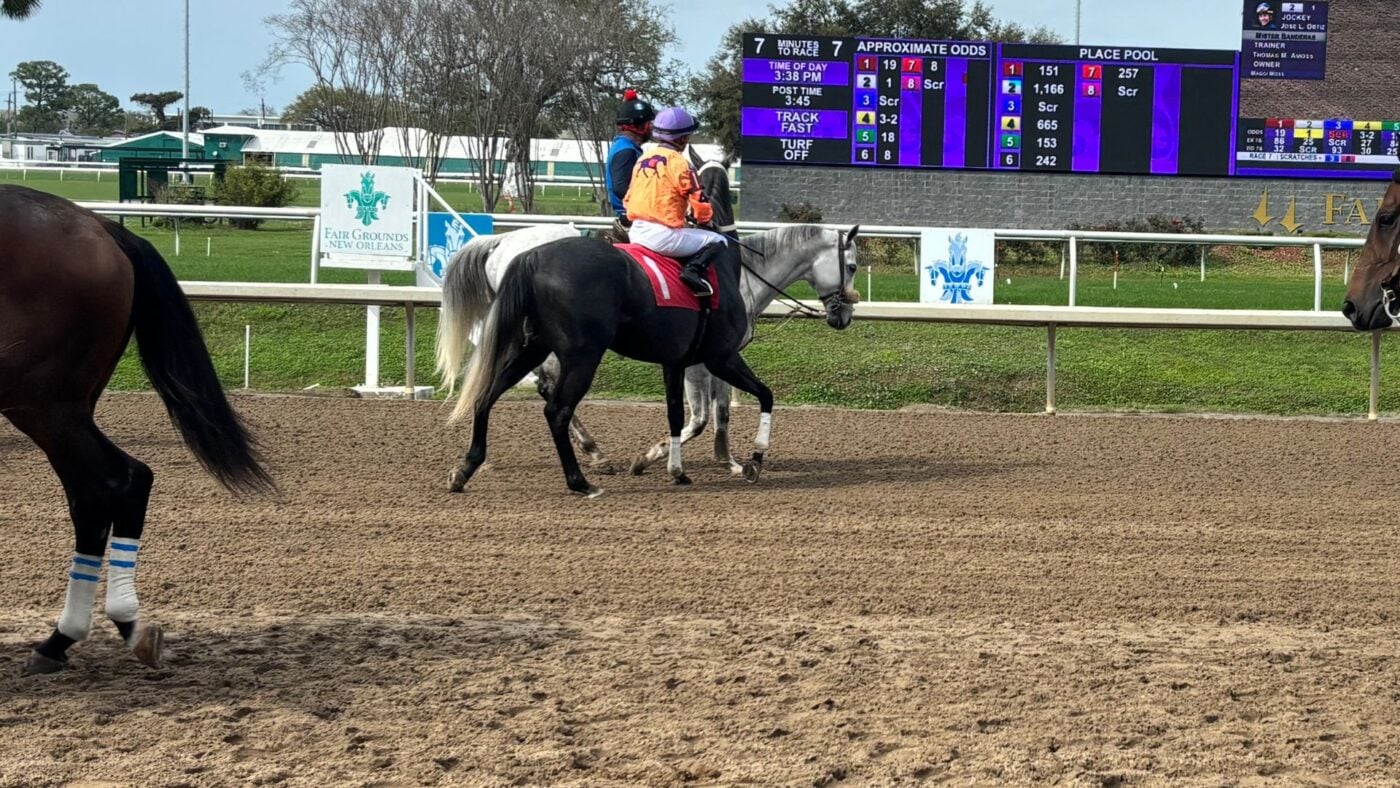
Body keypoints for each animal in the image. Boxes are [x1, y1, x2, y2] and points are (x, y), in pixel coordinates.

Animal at [0, 185, 272, 674]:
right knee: (96, 494)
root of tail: (100, 225)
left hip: (44, 404)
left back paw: (95, 630)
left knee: (116, 481)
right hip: (62, 408)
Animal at [437, 148, 836, 476]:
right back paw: (593, 455)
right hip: (574, 350)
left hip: (533, 339)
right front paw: (685, 458)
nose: (842, 314)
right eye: (847, 263)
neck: (735, 269)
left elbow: (713, 410)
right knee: (551, 394)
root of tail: (508, 244)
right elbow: (702, 415)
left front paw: (723, 459)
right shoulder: (711, 357)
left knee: (508, 387)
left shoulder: (697, 358)